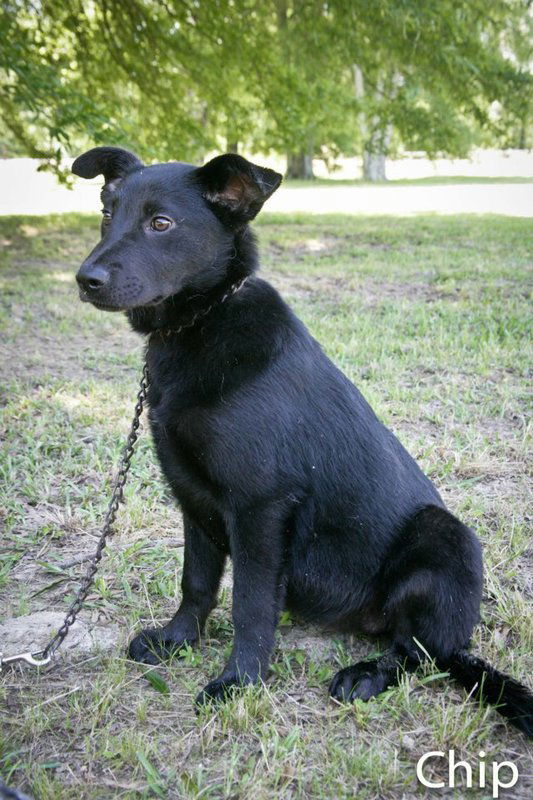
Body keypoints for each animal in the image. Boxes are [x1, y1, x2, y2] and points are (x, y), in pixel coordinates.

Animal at [74, 147, 532, 736]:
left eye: (161, 224)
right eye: (107, 213)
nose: (84, 279)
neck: (204, 321)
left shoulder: (260, 508)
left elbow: (248, 604)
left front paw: (238, 682)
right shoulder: (193, 500)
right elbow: (196, 582)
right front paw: (177, 641)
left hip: (445, 538)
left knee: (417, 652)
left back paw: (366, 674)